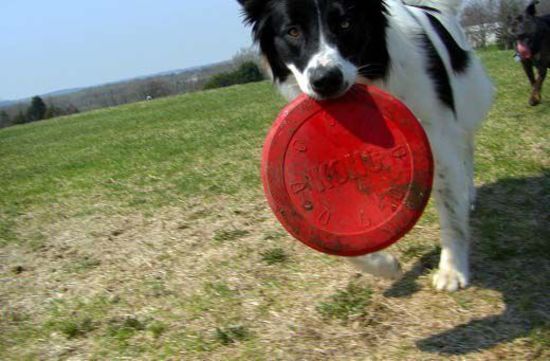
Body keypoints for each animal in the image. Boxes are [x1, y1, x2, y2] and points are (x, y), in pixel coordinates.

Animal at [239, 0, 494, 292]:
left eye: (345, 23)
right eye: (292, 31)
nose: (326, 80)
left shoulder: (438, 139)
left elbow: (451, 214)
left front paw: (452, 270)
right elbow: (337, 236)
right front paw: (384, 266)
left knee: (466, 148)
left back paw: (469, 194)